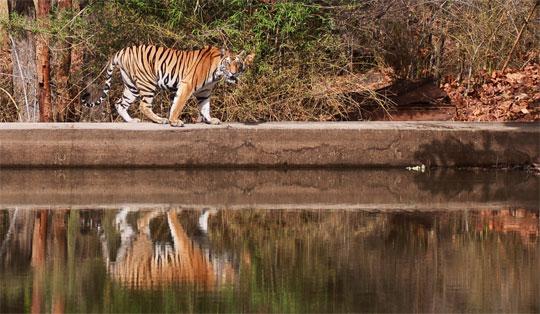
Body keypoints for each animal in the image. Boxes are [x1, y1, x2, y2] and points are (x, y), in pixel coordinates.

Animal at [82, 44, 255, 127]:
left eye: (238, 64)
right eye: (228, 64)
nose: (233, 74)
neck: (217, 71)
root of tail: (122, 51)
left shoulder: (204, 92)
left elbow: (205, 107)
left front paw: (210, 120)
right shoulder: (187, 85)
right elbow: (178, 104)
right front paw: (174, 121)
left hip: (132, 87)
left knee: (120, 103)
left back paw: (131, 121)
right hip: (147, 83)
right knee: (143, 106)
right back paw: (160, 120)